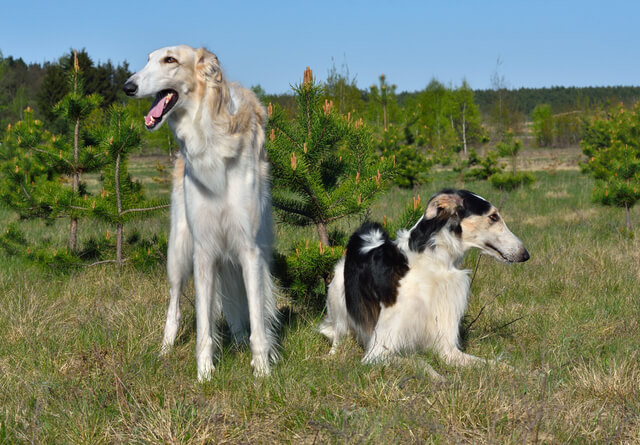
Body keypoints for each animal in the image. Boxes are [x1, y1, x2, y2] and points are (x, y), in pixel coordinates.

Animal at [122, 45, 278, 378]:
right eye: (147, 59)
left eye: (170, 60)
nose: (128, 86)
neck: (209, 138)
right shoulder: (204, 249)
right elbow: (204, 327)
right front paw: (205, 374)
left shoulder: (249, 249)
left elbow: (257, 321)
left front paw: (261, 372)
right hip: (178, 253)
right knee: (174, 308)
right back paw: (164, 351)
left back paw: (241, 342)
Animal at [320, 187, 528, 378]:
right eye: (493, 216)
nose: (525, 255)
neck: (434, 264)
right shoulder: (377, 352)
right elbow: (419, 362)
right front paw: (439, 378)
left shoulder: (447, 348)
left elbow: (491, 363)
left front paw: (525, 374)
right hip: (338, 297)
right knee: (336, 337)